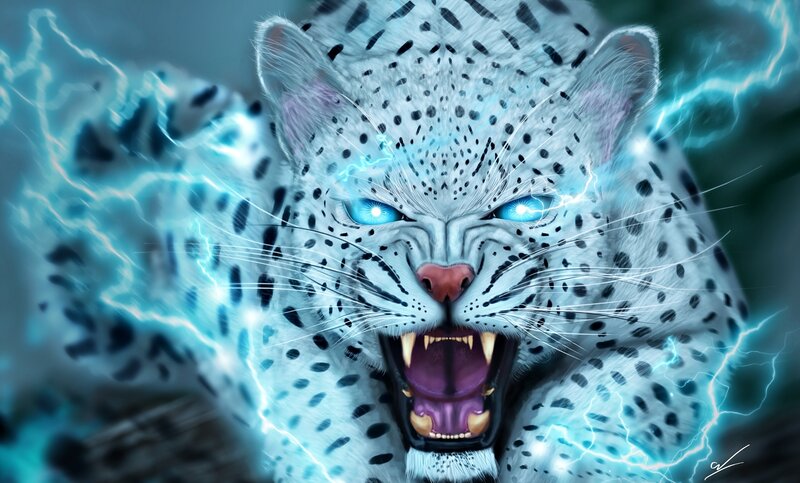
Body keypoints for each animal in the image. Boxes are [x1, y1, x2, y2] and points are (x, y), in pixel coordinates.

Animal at [17, 1, 749, 482]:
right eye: (374, 208)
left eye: (525, 207)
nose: (446, 278)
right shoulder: (269, 315)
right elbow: (325, 414)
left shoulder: (705, 321)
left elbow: (589, 399)